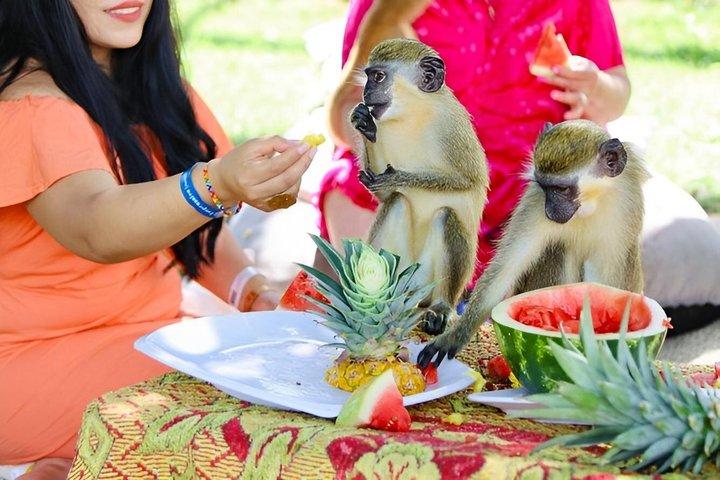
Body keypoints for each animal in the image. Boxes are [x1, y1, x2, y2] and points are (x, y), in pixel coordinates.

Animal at [349, 38, 489, 335]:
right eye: (369, 77)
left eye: (378, 77)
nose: (366, 93)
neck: (413, 115)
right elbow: (385, 196)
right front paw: (364, 124)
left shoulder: (453, 127)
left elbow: (468, 181)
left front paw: (399, 177)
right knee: (397, 202)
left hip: (428, 280)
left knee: (447, 216)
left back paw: (440, 308)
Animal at [418, 119, 650, 367]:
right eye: (545, 186)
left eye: (562, 189)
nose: (550, 211)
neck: (590, 204)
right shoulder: (535, 200)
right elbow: (506, 269)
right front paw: (455, 337)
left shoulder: (625, 207)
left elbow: (606, 289)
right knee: (558, 249)